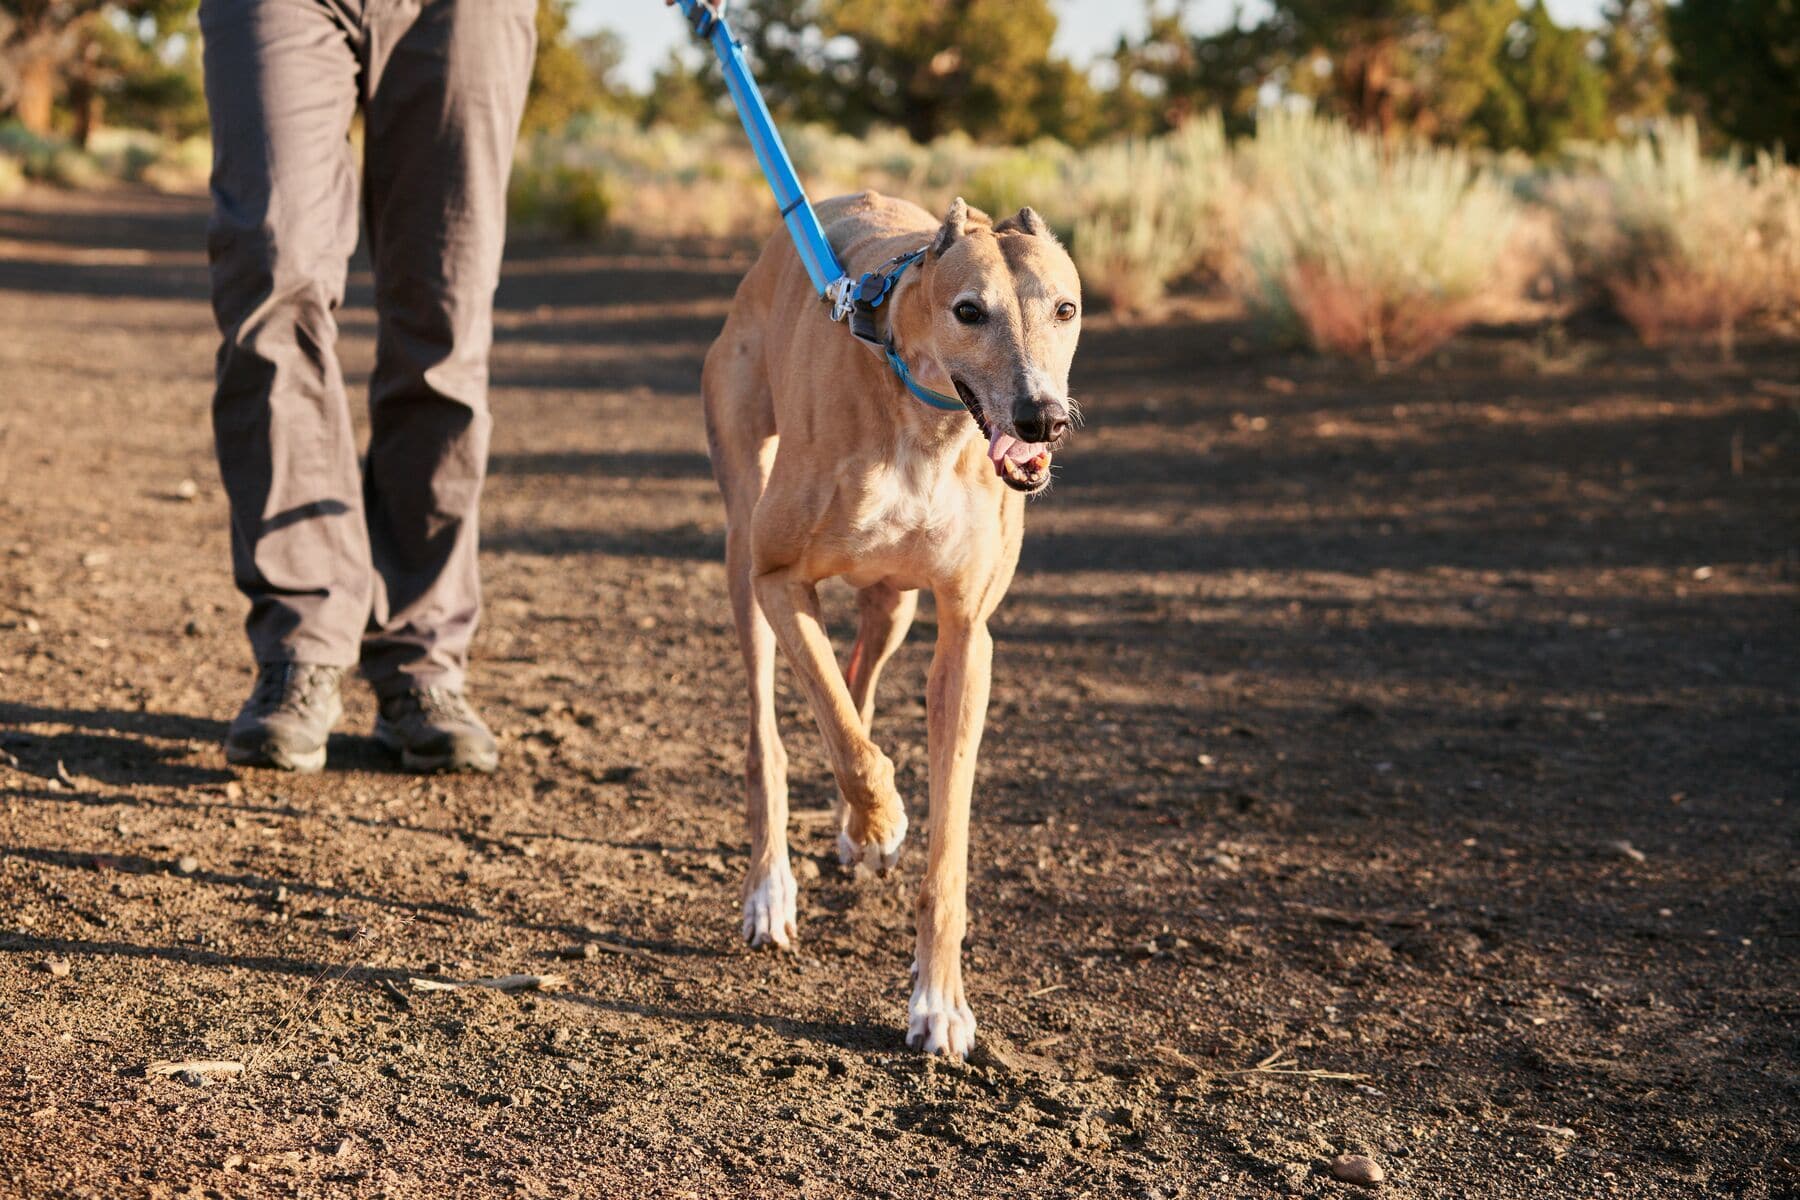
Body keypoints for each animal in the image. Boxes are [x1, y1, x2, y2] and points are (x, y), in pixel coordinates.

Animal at [702, 191, 1081, 1057]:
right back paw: (771, 888)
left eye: (1066, 309)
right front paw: (880, 823)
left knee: (857, 679)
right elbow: (847, 745)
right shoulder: (780, 581)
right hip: (744, 553)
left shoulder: (966, 634)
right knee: (771, 736)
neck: (926, 418)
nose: (1042, 419)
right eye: (969, 311)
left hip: (896, 601)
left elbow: (945, 845)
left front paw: (939, 1001)